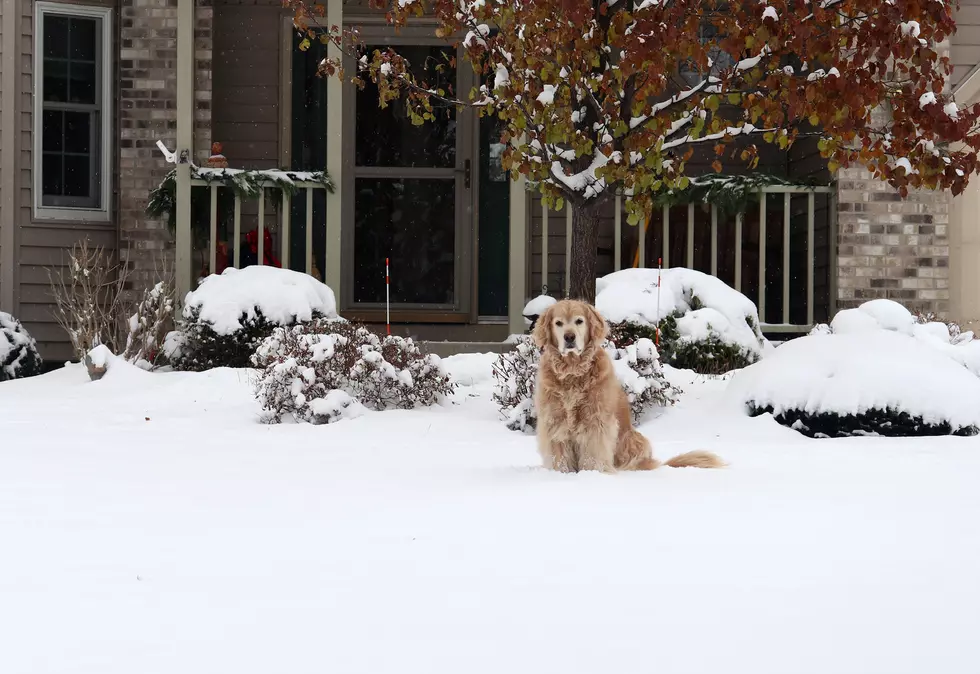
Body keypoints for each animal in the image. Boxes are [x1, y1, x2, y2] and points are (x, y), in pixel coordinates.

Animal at [532, 300, 724, 472]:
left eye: (579, 321)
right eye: (558, 323)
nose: (569, 337)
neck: (573, 371)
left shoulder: (596, 421)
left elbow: (593, 455)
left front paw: (592, 474)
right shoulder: (554, 421)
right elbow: (559, 456)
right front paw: (560, 474)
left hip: (635, 440)